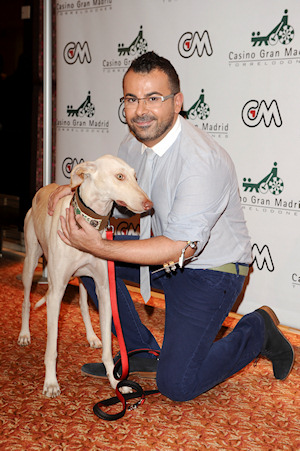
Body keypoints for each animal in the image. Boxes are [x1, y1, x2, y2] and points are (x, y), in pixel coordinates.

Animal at [18, 155, 152, 400]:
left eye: (135, 176)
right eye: (120, 176)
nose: (149, 205)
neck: (88, 223)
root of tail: (44, 189)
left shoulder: (104, 289)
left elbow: (108, 349)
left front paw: (116, 383)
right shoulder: (56, 293)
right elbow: (52, 348)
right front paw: (50, 383)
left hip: (83, 280)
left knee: (82, 305)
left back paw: (92, 337)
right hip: (31, 260)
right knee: (26, 300)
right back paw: (24, 334)